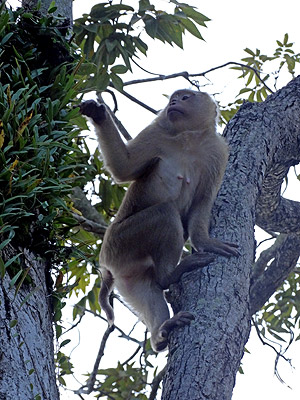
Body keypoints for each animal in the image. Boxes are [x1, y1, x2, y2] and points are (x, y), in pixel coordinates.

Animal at [79, 89, 239, 352]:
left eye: (185, 97)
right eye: (174, 98)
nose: (173, 103)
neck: (188, 139)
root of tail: (107, 266)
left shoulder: (216, 152)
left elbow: (202, 202)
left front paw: (205, 242)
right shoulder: (156, 133)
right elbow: (124, 168)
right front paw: (98, 113)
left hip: (127, 271)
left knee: (147, 289)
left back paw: (161, 332)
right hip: (120, 241)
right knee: (165, 214)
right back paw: (170, 276)